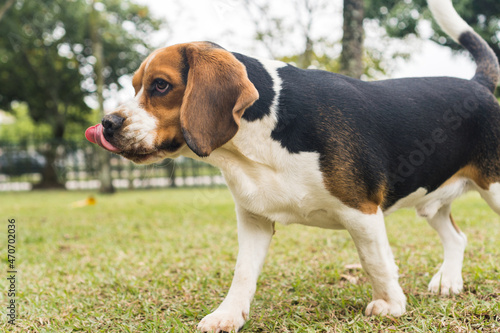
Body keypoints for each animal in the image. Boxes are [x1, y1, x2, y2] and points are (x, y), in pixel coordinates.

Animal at [86, 1, 500, 330]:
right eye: (136, 85)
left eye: (160, 85)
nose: (107, 123)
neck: (257, 135)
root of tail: (478, 85)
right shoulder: (253, 218)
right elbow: (242, 272)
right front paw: (228, 315)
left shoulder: (362, 212)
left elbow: (375, 262)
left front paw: (390, 304)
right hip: (431, 200)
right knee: (456, 237)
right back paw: (448, 281)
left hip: (493, 189)